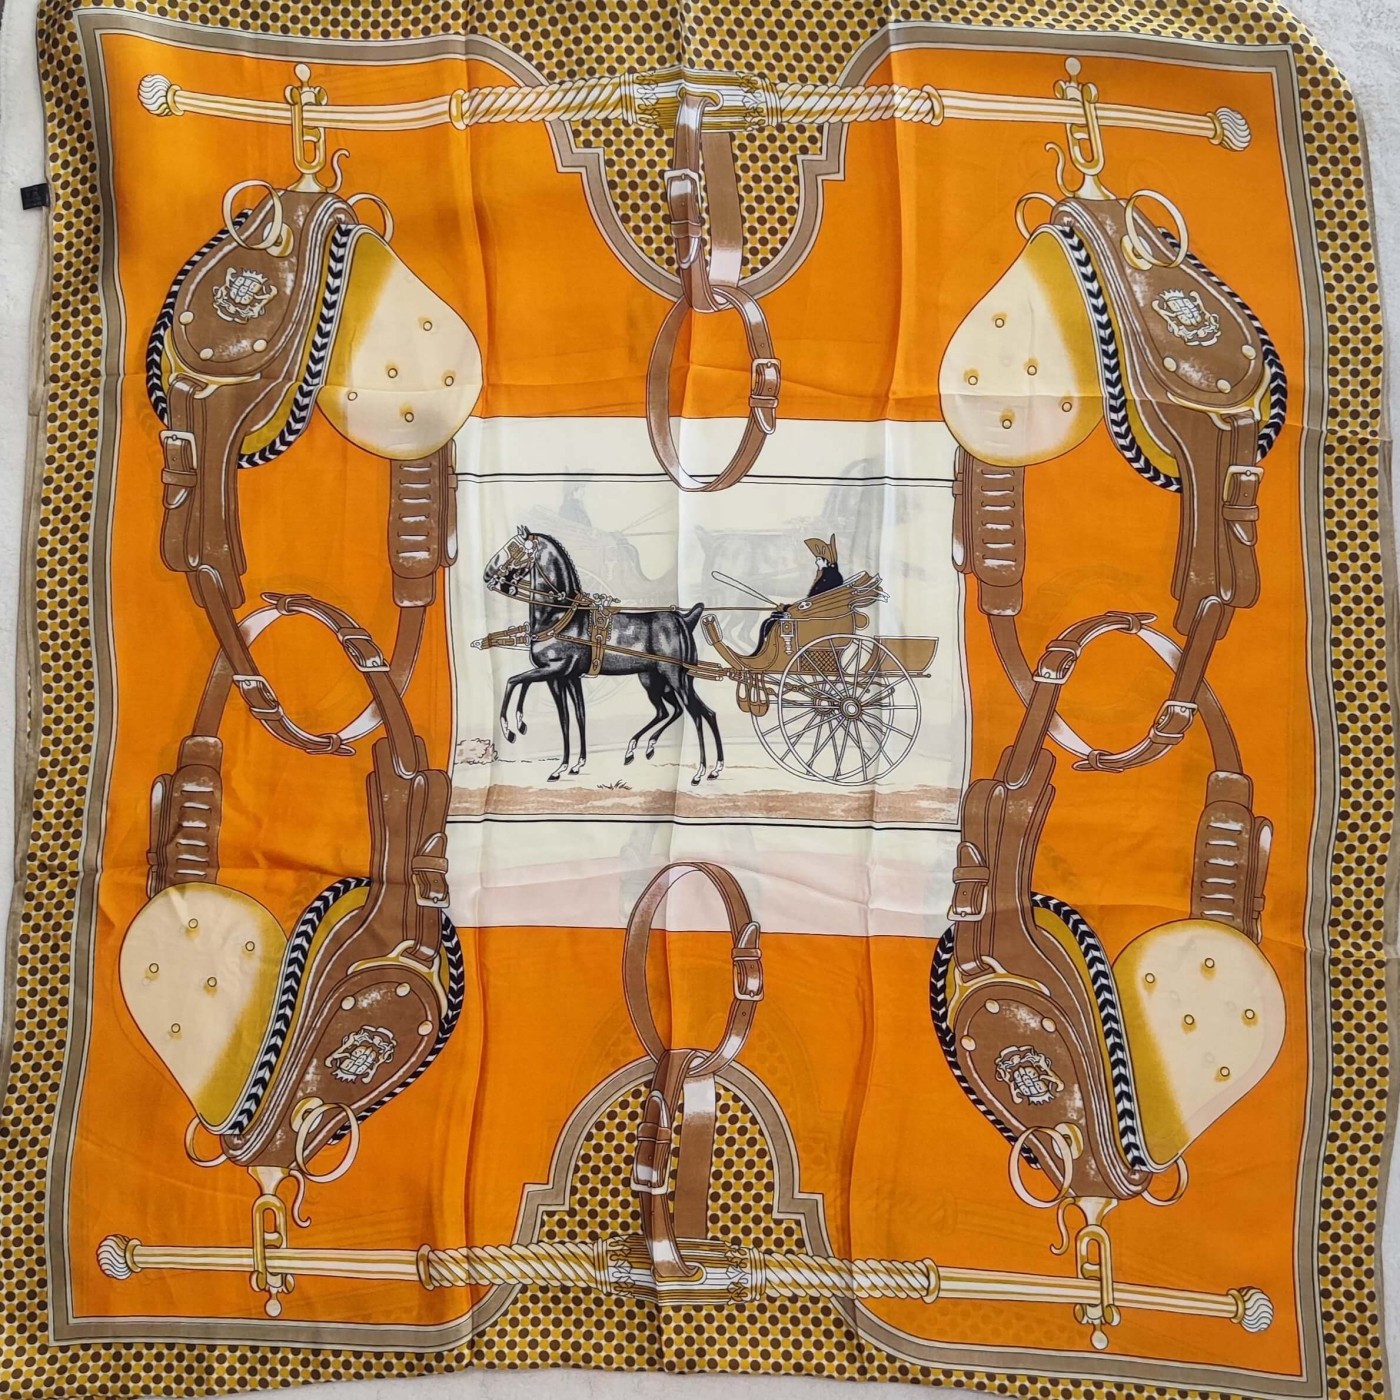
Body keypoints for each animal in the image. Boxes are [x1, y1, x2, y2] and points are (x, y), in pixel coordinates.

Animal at [482, 526, 725, 784]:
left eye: (514, 548)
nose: (487, 574)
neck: (560, 617)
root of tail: (685, 619)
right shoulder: (563, 678)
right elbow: (571, 718)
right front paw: (569, 766)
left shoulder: (554, 670)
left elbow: (513, 681)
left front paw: (512, 728)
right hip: (655, 680)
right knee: (688, 712)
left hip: (675, 679)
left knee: (696, 715)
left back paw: (700, 772)